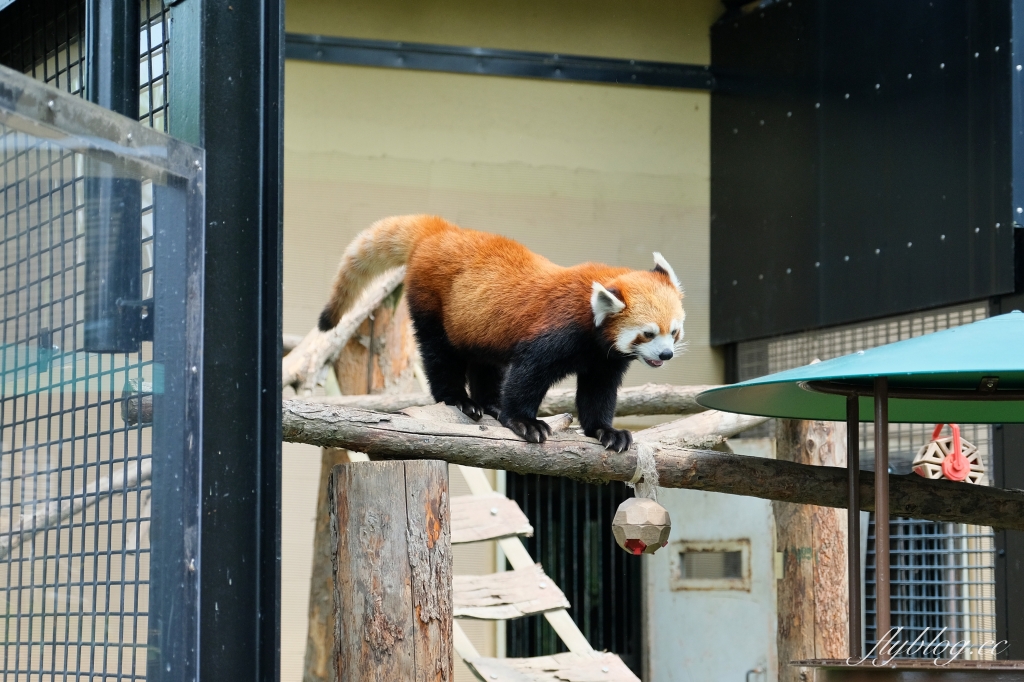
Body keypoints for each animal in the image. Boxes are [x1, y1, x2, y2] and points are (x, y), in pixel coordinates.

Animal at [317, 215, 688, 448]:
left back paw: (490, 404)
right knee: (440, 354)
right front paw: (525, 422)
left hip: (480, 326)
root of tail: (441, 231)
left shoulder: (603, 359)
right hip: (433, 302)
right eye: (647, 334)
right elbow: (528, 375)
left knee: (485, 363)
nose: (666, 354)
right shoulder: (556, 331)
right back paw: (460, 400)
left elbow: (598, 394)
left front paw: (605, 431)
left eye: (674, 332)